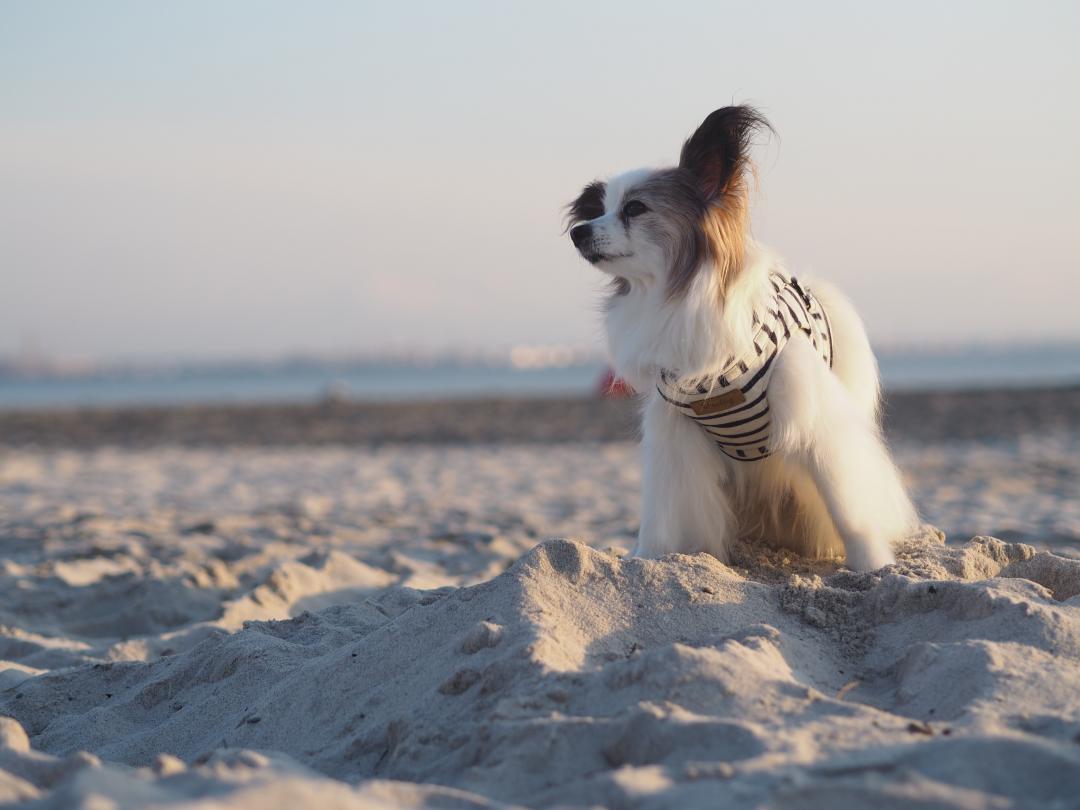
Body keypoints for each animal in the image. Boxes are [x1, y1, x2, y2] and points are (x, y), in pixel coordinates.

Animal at [570, 104, 915, 570]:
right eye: (601, 208)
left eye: (635, 208)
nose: (578, 232)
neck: (672, 297)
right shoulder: (673, 434)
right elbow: (660, 513)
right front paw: (645, 558)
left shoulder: (813, 420)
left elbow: (846, 504)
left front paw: (871, 563)